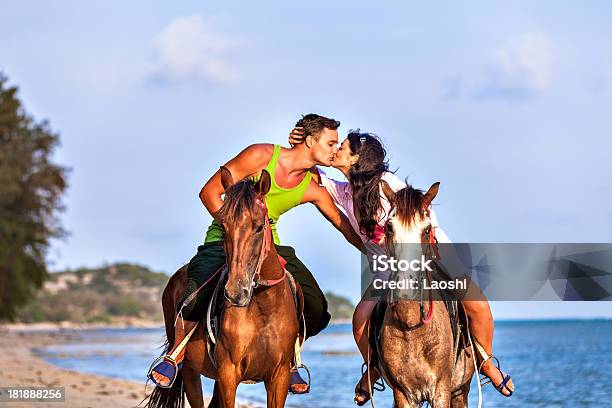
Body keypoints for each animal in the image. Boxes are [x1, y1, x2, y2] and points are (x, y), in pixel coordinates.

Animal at [146, 168, 304, 408]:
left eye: (259, 227)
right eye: (223, 226)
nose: (236, 292)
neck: (264, 309)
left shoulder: (279, 377)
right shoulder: (229, 374)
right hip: (190, 371)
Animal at [376, 182, 476, 408]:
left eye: (427, 229)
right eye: (389, 227)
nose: (406, 286)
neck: (411, 325)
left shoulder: (441, 390)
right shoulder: (403, 394)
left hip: (460, 390)